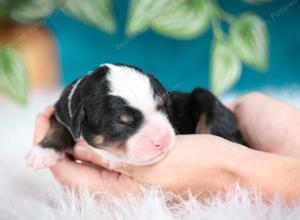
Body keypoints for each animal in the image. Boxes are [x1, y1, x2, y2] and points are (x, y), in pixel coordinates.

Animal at [25, 63, 244, 170]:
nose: (162, 139)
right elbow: (60, 126)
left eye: (162, 106)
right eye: (121, 122)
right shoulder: (62, 110)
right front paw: (43, 152)